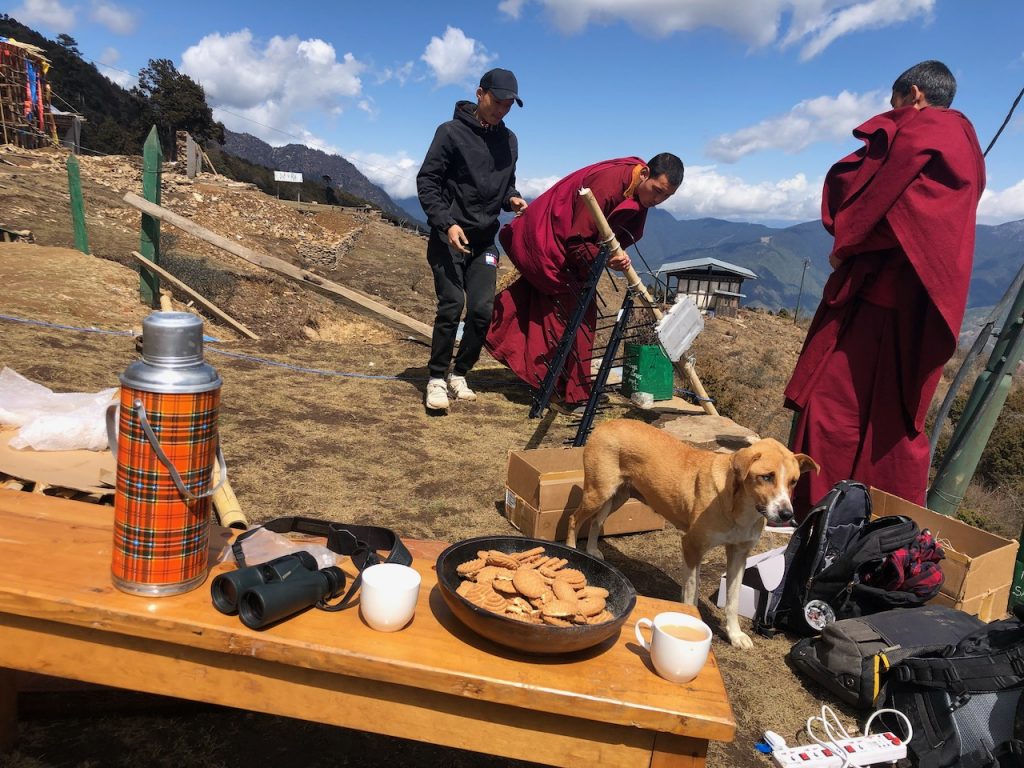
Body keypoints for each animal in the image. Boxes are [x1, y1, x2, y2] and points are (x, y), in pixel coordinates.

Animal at [569, 421, 815, 651]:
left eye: (793, 481)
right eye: (766, 477)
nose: (787, 514)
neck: (740, 508)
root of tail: (608, 423)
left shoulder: (739, 555)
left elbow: (733, 600)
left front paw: (735, 635)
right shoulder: (691, 546)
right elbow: (691, 590)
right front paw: (689, 615)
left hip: (618, 495)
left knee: (596, 521)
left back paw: (591, 550)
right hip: (598, 491)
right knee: (574, 519)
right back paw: (573, 549)